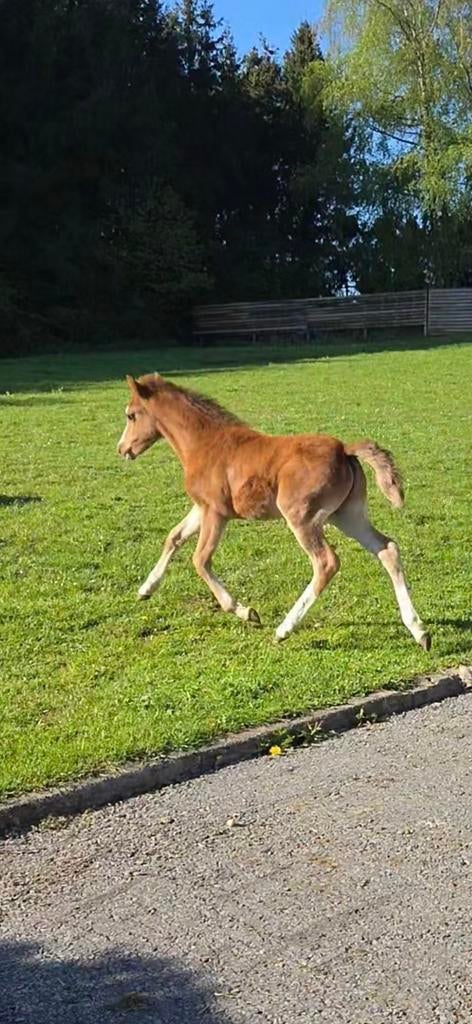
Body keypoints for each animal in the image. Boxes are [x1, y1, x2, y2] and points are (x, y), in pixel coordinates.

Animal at [118, 372, 430, 649]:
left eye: (131, 415)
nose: (122, 449)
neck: (205, 443)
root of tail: (344, 449)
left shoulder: (216, 513)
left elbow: (200, 560)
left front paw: (245, 611)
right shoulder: (202, 507)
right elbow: (174, 537)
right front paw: (145, 589)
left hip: (303, 518)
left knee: (326, 562)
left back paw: (283, 629)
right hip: (348, 516)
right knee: (387, 549)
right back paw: (419, 631)